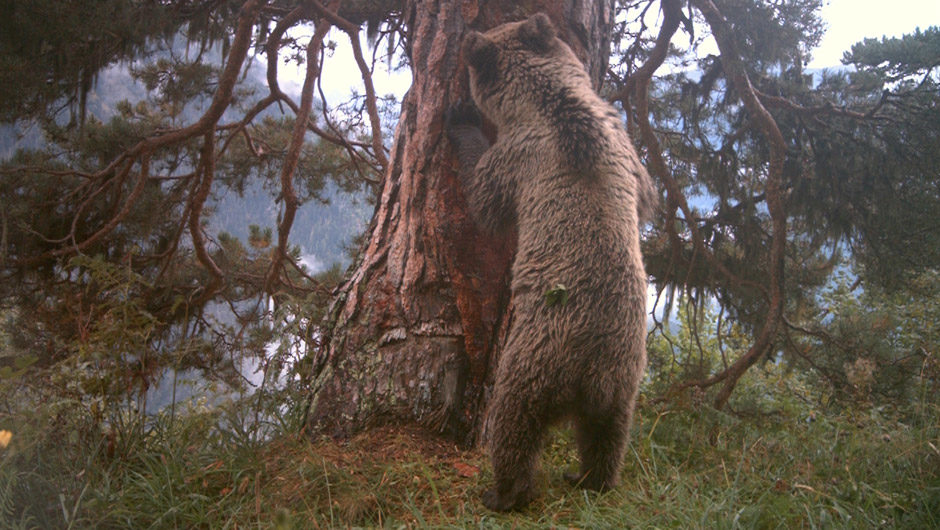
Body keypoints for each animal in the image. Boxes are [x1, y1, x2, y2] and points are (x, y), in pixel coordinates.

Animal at [446, 13, 652, 512]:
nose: (468, 37)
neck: (556, 102)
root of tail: (593, 376)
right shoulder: (625, 146)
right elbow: (647, 196)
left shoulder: (518, 158)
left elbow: (484, 200)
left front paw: (460, 118)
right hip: (625, 380)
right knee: (606, 437)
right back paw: (589, 477)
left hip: (536, 358)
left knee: (514, 423)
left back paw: (503, 492)